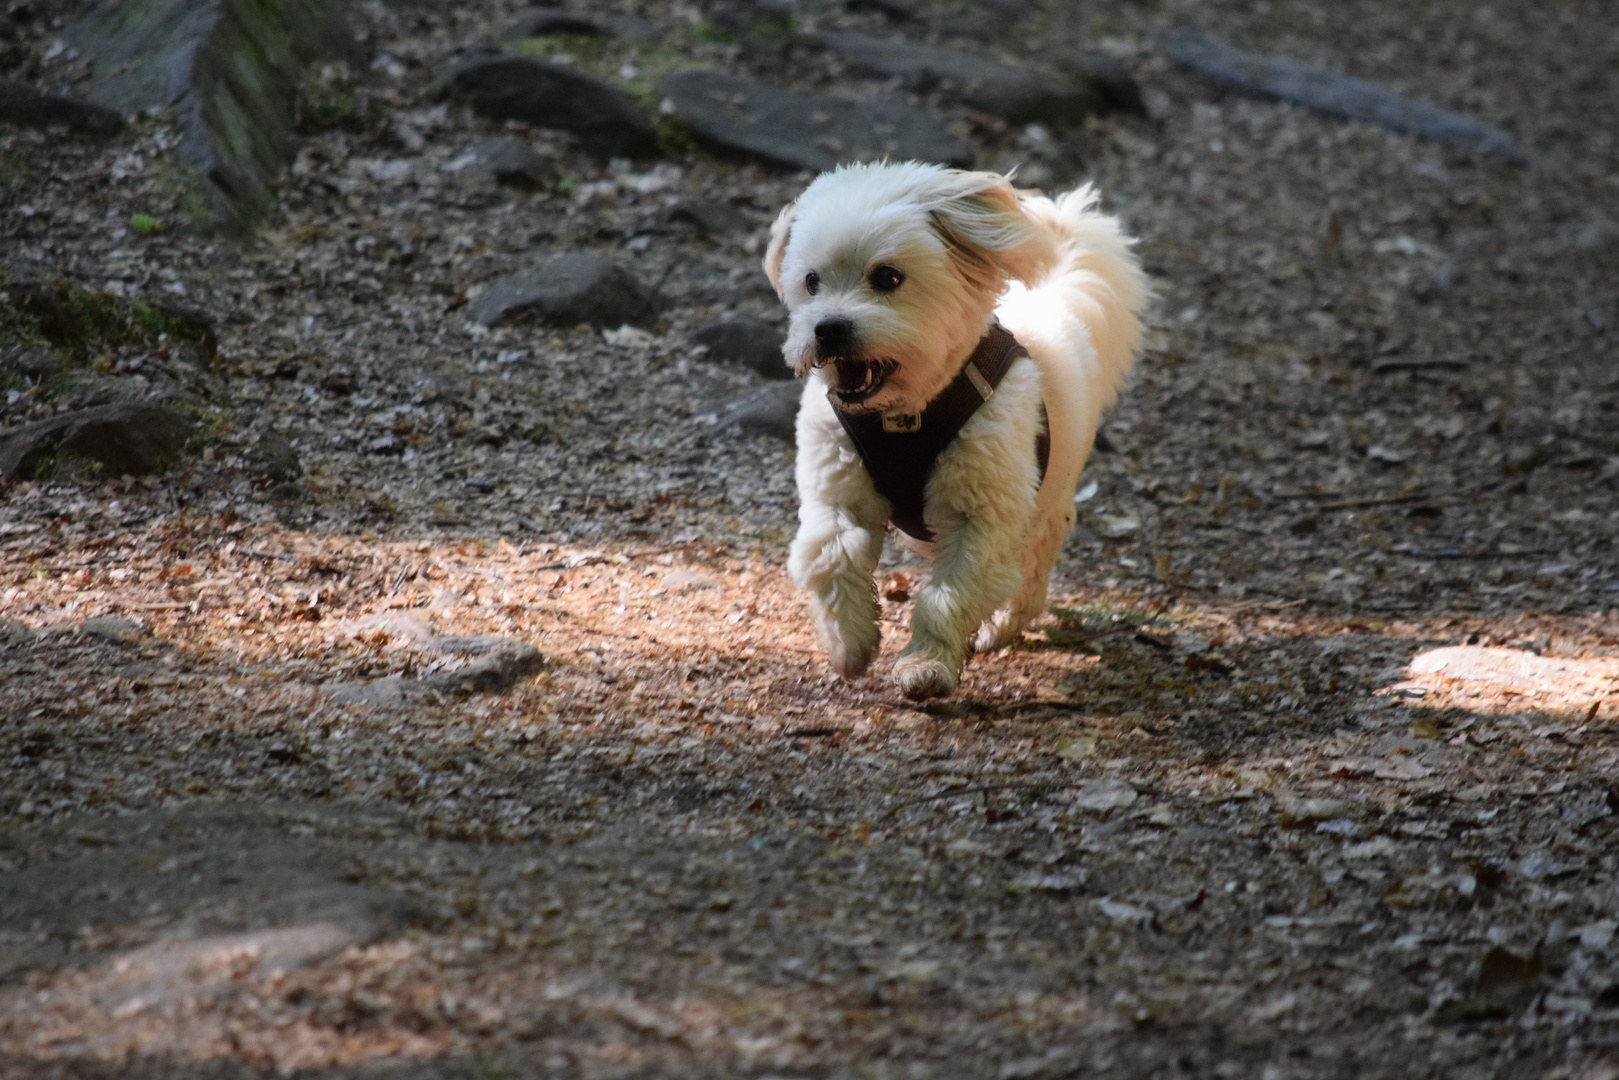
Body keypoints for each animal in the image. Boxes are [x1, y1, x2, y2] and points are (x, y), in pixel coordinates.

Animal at [760, 158, 1152, 702]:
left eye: (887, 276)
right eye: (811, 281)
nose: (828, 328)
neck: (905, 415)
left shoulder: (979, 520)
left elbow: (946, 596)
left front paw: (925, 665)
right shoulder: (837, 495)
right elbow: (831, 558)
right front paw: (850, 642)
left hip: (1044, 506)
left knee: (1029, 571)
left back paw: (1000, 625)